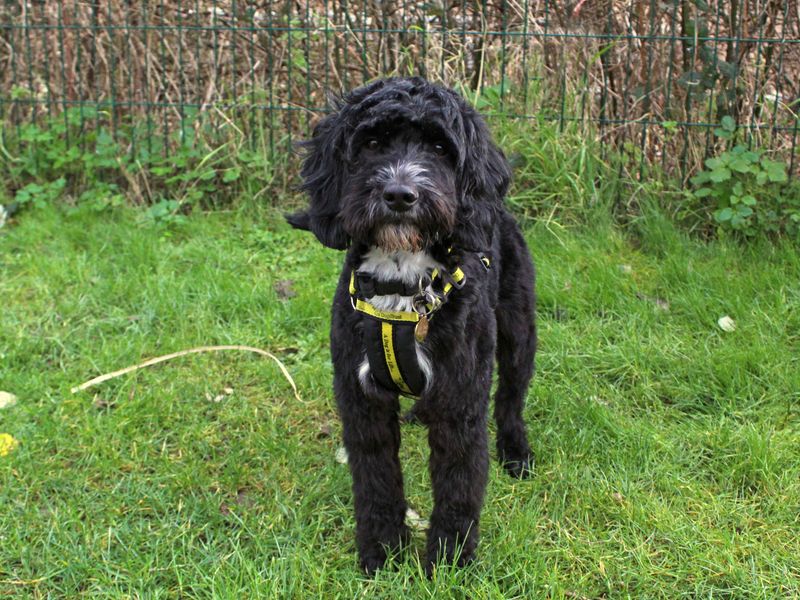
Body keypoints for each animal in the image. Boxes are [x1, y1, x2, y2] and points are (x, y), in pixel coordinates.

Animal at [288, 77, 536, 576]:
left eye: (440, 148)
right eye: (371, 143)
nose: (400, 194)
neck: (402, 283)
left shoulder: (461, 397)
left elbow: (459, 480)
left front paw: (449, 560)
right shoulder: (361, 399)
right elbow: (376, 479)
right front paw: (382, 550)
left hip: (519, 330)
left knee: (511, 397)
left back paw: (515, 450)